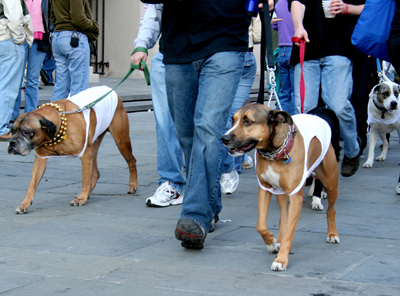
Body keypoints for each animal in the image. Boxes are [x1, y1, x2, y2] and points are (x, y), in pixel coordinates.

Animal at [7, 86, 138, 214]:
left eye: (26, 132)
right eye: (12, 130)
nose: (12, 143)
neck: (58, 127)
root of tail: (111, 90)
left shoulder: (85, 155)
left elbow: (85, 178)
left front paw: (82, 198)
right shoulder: (41, 159)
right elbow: (32, 184)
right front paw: (25, 204)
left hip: (121, 140)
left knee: (132, 161)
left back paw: (132, 185)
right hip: (94, 145)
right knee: (95, 172)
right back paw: (88, 193)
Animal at [222, 103, 340, 270]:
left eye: (248, 122)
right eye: (233, 120)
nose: (223, 138)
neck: (274, 153)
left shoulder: (296, 196)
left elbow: (290, 232)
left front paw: (281, 260)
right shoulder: (265, 189)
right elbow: (261, 225)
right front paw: (271, 242)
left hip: (330, 181)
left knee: (331, 209)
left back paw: (332, 234)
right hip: (280, 192)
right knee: (283, 217)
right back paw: (278, 239)